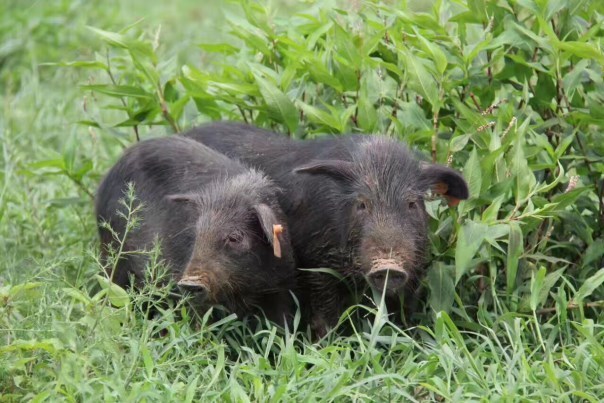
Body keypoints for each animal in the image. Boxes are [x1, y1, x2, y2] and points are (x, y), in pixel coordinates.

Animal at [186, 122, 470, 338]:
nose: (388, 264)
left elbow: (405, 315)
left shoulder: (416, 268)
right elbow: (325, 316)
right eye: (361, 204)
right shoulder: (316, 266)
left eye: (412, 203)